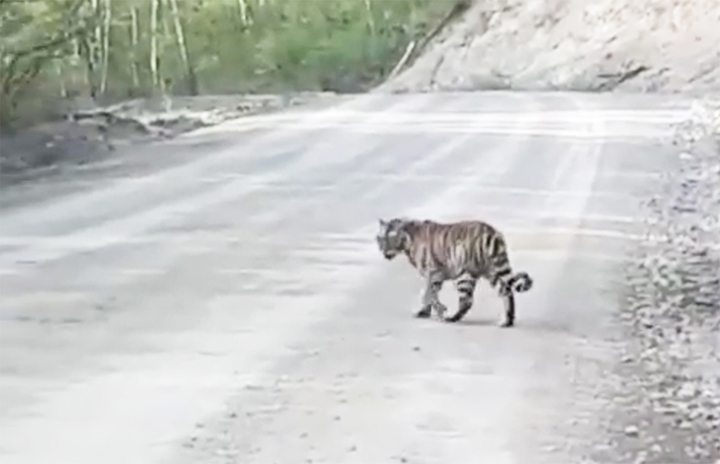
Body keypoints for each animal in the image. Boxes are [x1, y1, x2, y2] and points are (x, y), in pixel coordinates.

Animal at [376, 218, 536, 326]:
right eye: (379, 239)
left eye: (388, 240)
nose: (383, 251)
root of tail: (490, 232)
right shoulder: (434, 277)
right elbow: (430, 295)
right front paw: (425, 312)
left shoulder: (432, 274)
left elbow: (429, 295)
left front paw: (439, 310)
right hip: (493, 271)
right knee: (506, 291)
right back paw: (507, 321)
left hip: (464, 275)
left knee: (467, 301)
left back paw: (452, 317)